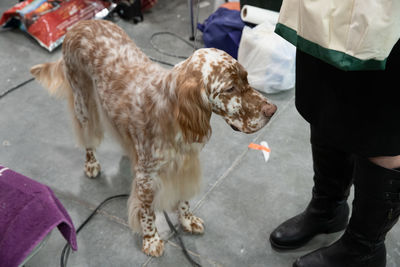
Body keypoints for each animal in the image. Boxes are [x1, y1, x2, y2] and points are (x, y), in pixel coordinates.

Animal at [31, 19, 276, 258]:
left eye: (246, 78)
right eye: (230, 88)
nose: (272, 110)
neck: (171, 111)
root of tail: (79, 23)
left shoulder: (184, 165)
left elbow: (183, 199)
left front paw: (187, 220)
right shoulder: (147, 178)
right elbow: (147, 211)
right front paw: (151, 239)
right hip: (82, 99)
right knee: (87, 138)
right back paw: (91, 163)